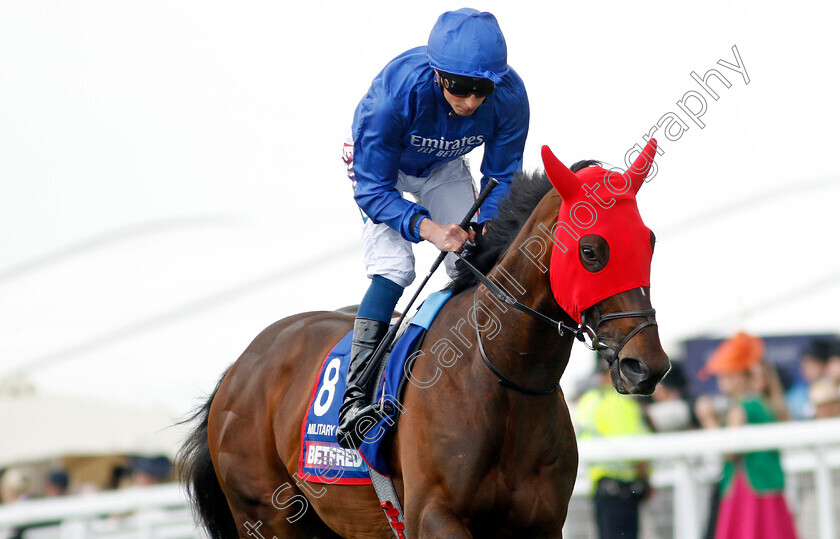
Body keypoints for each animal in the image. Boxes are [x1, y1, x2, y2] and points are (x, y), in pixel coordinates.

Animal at [182, 140, 668, 539]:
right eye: (591, 251)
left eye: (649, 241)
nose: (647, 365)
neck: (501, 378)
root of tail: (241, 366)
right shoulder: (433, 515)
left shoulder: (542, 523)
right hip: (267, 515)